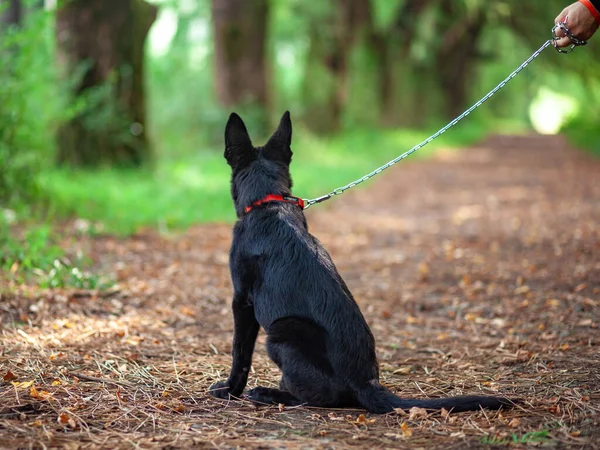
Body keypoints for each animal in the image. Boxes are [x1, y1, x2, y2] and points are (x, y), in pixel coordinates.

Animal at [209, 113, 508, 414]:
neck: (267, 204)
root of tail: (367, 383)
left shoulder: (242, 301)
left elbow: (239, 352)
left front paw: (229, 389)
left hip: (283, 331)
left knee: (321, 398)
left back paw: (269, 393)